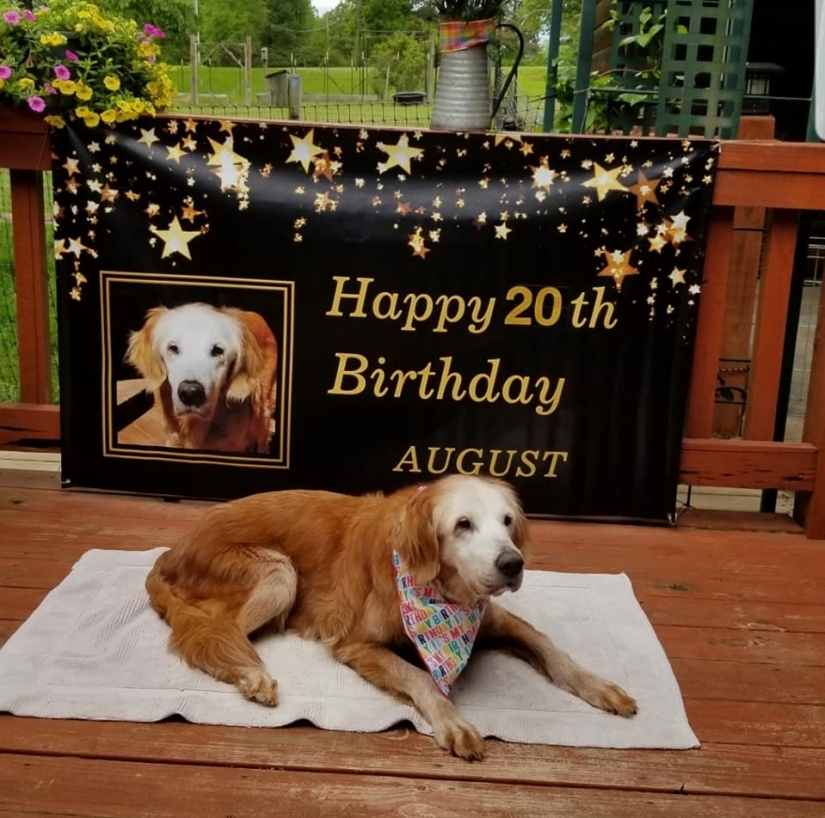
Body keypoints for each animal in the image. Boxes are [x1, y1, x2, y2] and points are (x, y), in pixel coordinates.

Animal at [146, 472, 636, 760]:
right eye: (463, 524)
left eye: (507, 521)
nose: (513, 564)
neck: (440, 591)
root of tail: (173, 550)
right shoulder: (356, 644)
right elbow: (420, 677)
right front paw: (452, 721)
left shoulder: (493, 619)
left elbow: (552, 648)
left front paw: (599, 686)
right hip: (279, 573)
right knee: (213, 633)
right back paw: (252, 675)